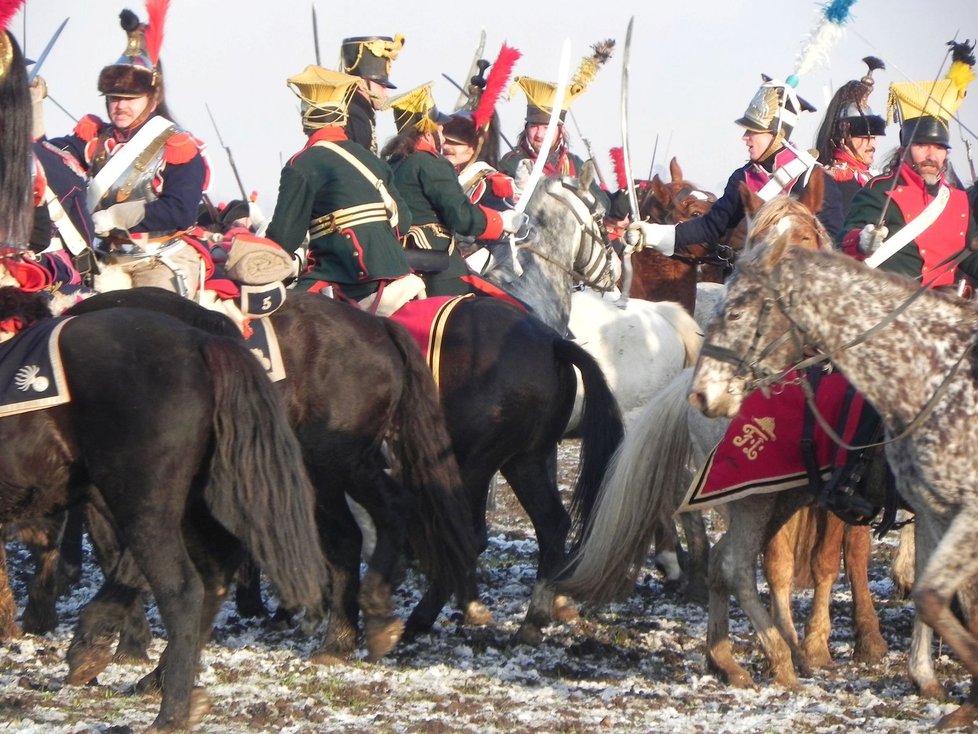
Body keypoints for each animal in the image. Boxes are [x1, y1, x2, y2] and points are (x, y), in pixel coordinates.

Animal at [0, 288, 328, 732]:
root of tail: (203, 340)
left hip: (143, 505)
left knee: (180, 589)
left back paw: (166, 710)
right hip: (188, 506)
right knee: (210, 580)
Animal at [688, 194, 978, 732]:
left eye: (736, 311)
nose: (706, 393)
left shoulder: (943, 511)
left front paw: (928, 677)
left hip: (776, 500)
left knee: (726, 563)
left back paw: (732, 660)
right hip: (752, 498)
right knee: (740, 566)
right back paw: (783, 659)